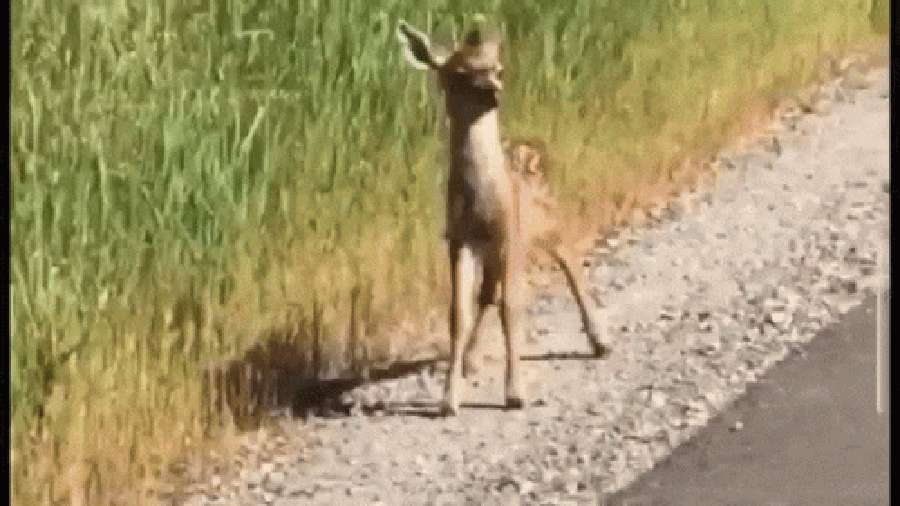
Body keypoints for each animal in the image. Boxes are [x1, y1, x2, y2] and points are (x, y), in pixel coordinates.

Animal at [397, 20, 609, 416]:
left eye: (498, 69)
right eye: (459, 73)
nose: (495, 91)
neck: (482, 203)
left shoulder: (510, 235)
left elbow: (512, 307)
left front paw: (515, 393)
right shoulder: (459, 239)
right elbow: (459, 313)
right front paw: (449, 399)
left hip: (547, 219)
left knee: (570, 260)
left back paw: (600, 340)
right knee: (487, 293)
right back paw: (472, 360)